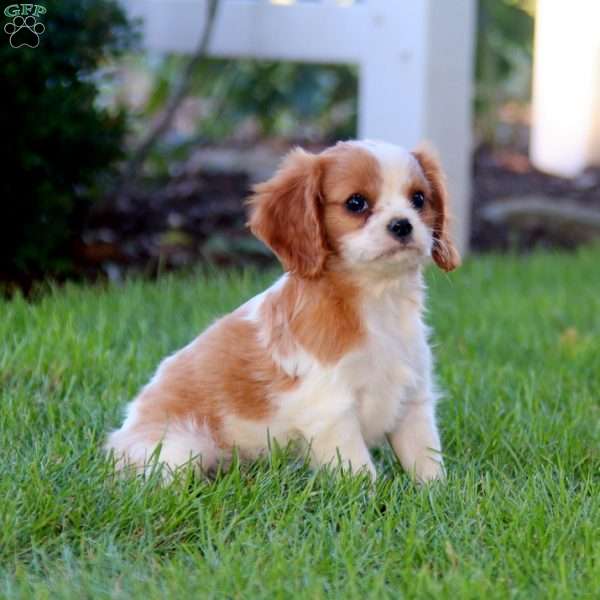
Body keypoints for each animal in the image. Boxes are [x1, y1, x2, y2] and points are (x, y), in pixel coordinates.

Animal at [106, 139, 460, 482]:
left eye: (419, 199)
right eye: (356, 203)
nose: (402, 225)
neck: (379, 299)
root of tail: (120, 437)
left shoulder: (414, 400)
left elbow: (427, 461)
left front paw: (437, 495)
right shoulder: (331, 412)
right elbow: (361, 475)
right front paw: (373, 500)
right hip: (181, 447)